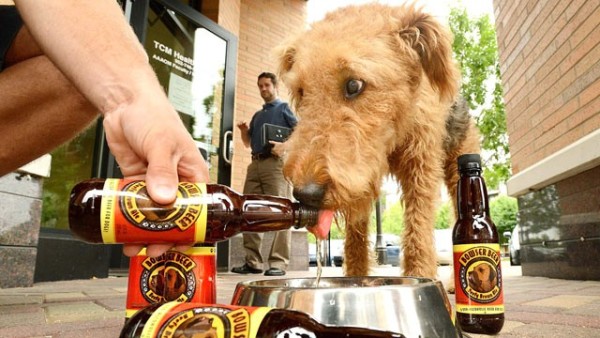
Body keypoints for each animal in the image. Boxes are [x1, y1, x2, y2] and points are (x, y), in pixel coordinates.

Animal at [276, 3, 478, 278]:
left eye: (354, 84)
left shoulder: (421, 165)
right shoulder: (362, 177)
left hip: (459, 163)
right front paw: (356, 277)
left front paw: (419, 276)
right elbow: (356, 235)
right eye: (301, 92)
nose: (306, 194)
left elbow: (418, 229)